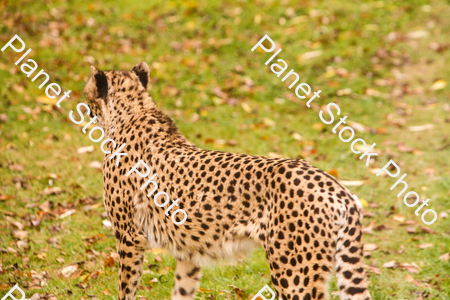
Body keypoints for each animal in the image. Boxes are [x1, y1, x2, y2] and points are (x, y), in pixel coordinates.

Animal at [84, 61, 372, 300]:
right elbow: (182, 290)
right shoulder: (188, 249)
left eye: (87, 91)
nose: (84, 105)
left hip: (294, 274)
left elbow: (126, 288)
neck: (133, 112)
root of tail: (335, 186)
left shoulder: (129, 237)